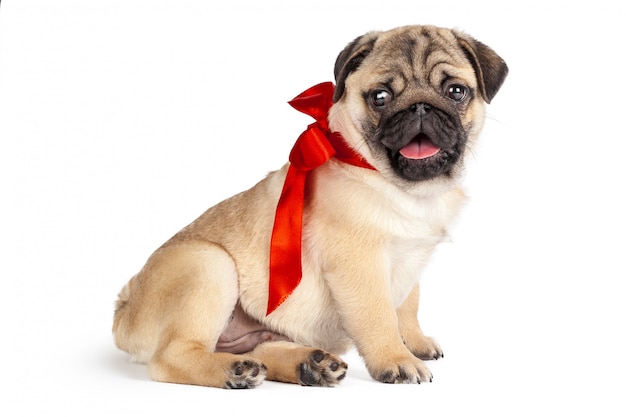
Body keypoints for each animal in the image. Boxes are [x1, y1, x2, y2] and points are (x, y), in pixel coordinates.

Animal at [112, 24, 504, 388]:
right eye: (380, 97)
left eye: (455, 91)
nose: (420, 107)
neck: (404, 188)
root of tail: (125, 306)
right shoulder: (359, 263)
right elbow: (379, 315)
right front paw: (396, 359)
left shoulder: (412, 261)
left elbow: (407, 305)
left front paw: (414, 342)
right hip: (209, 266)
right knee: (171, 357)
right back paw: (235, 371)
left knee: (259, 349)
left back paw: (308, 366)